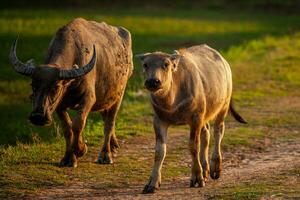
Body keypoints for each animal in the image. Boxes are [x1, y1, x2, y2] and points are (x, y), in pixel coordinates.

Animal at [9, 17, 133, 167]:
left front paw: (80, 149)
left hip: (118, 96)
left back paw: (105, 155)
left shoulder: (88, 98)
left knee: (109, 122)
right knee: (105, 117)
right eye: (33, 85)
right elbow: (67, 129)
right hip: (106, 98)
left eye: (56, 87)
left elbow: (77, 124)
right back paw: (113, 146)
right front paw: (68, 158)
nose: (38, 116)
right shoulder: (58, 105)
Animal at [136, 44, 246, 193]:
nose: (153, 81)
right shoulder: (159, 120)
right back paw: (205, 170)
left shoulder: (195, 119)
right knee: (206, 133)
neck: (172, 101)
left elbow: (193, 146)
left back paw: (215, 168)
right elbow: (159, 151)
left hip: (223, 106)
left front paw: (197, 178)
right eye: (145, 64)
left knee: (218, 131)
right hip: (205, 115)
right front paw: (152, 183)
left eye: (166, 64)